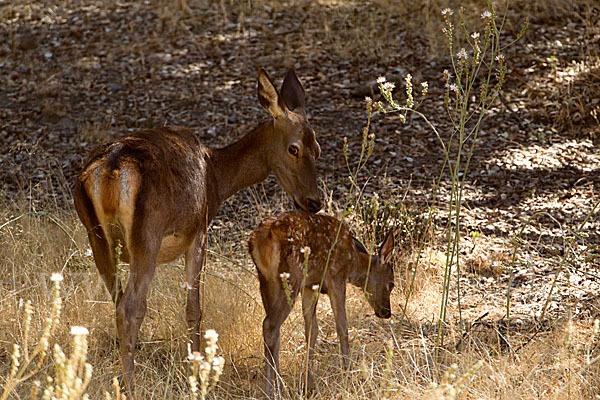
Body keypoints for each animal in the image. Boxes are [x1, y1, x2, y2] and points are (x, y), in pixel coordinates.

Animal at [74, 67, 324, 396]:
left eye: (317, 149)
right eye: (293, 148)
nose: (314, 202)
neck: (217, 177)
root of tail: (111, 171)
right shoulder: (200, 230)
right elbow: (194, 309)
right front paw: (196, 372)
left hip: (97, 237)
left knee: (117, 303)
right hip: (146, 237)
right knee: (130, 308)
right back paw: (133, 388)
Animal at [247, 211, 394, 398]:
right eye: (391, 284)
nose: (386, 312)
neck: (353, 261)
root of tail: (261, 238)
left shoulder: (310, 286)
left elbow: (312, 330)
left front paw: (308, 384)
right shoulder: (336, 277)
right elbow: (342, 327)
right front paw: (347, 376)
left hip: (266, 281)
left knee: (275, 331)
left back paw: (280, 386)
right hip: (291, 277)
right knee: (269, 325)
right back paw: (271, 392)